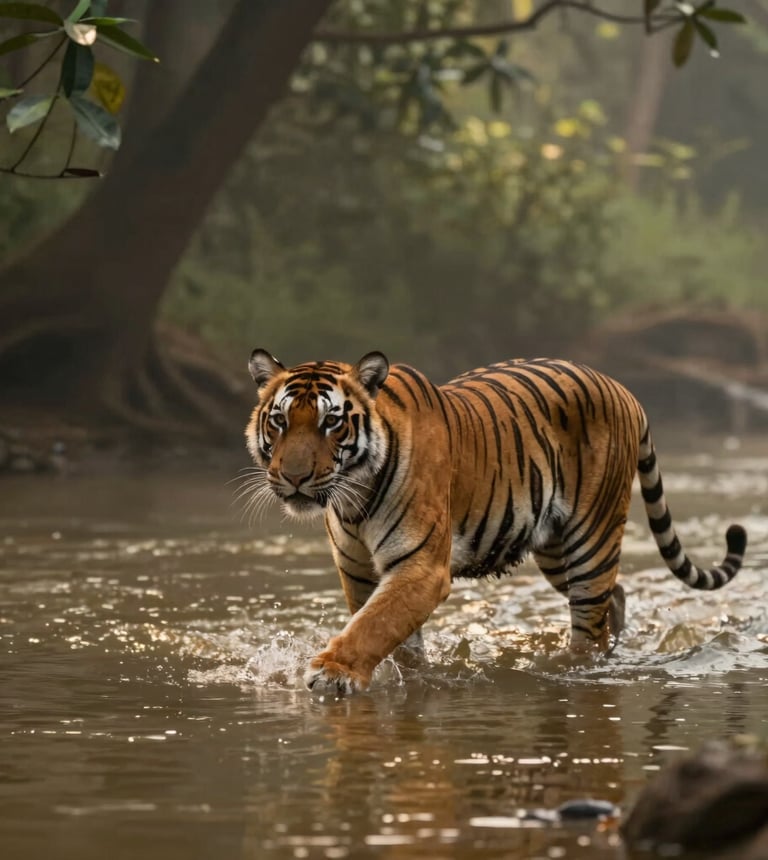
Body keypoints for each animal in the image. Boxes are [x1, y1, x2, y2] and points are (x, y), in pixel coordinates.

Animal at [244, 350, 747, 694]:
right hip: (556, 551)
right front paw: (404, 676)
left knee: (590, 627)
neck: (354, 497)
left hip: (592, 541)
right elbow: (391, 632)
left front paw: (332, 673)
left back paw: (576, 666)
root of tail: (625, 391)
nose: (294, 476)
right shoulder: (359, 571)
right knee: (615, 597)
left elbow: (375, 625)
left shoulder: (421, 567)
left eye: (331, 422)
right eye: (280, 421)